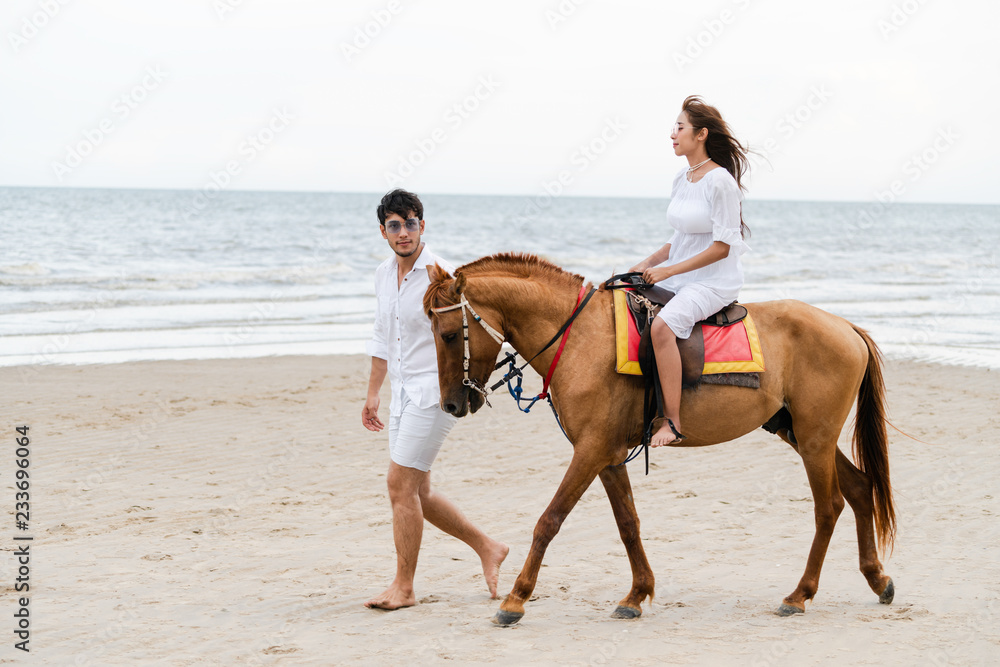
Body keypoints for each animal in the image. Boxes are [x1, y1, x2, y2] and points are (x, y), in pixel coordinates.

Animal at [422, 253, 900, 624]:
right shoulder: (608, 455)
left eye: (449, 335)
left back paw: (800, 594)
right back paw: (877, 578)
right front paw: (636, 594)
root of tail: (845, 326)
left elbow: (549, 521)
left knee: (829, 507)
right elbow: (628, 524)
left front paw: (516, 599)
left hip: (815, 439)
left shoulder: (590, 452)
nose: (451, 404)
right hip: (801, 433)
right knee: (860, 489)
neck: (580, 339)